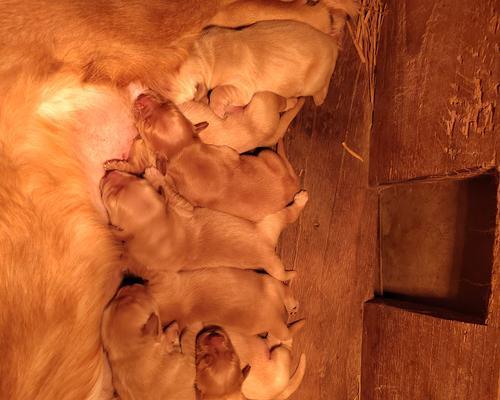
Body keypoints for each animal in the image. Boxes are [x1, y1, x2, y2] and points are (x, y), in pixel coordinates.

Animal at [99, 170, 306, 282]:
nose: (109, 173)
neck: (153, 228)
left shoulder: (182, 207)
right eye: (111, 197)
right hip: (271, 239)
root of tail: (268, 243)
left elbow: (168, 190)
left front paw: (154, 175)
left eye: (135, 179)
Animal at [167, 20, 340, 117]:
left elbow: (218, 92)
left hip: (314, 81)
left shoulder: (241, 87)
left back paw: (319, 98)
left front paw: (218, 110)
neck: (207, 54)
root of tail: (332, 42)